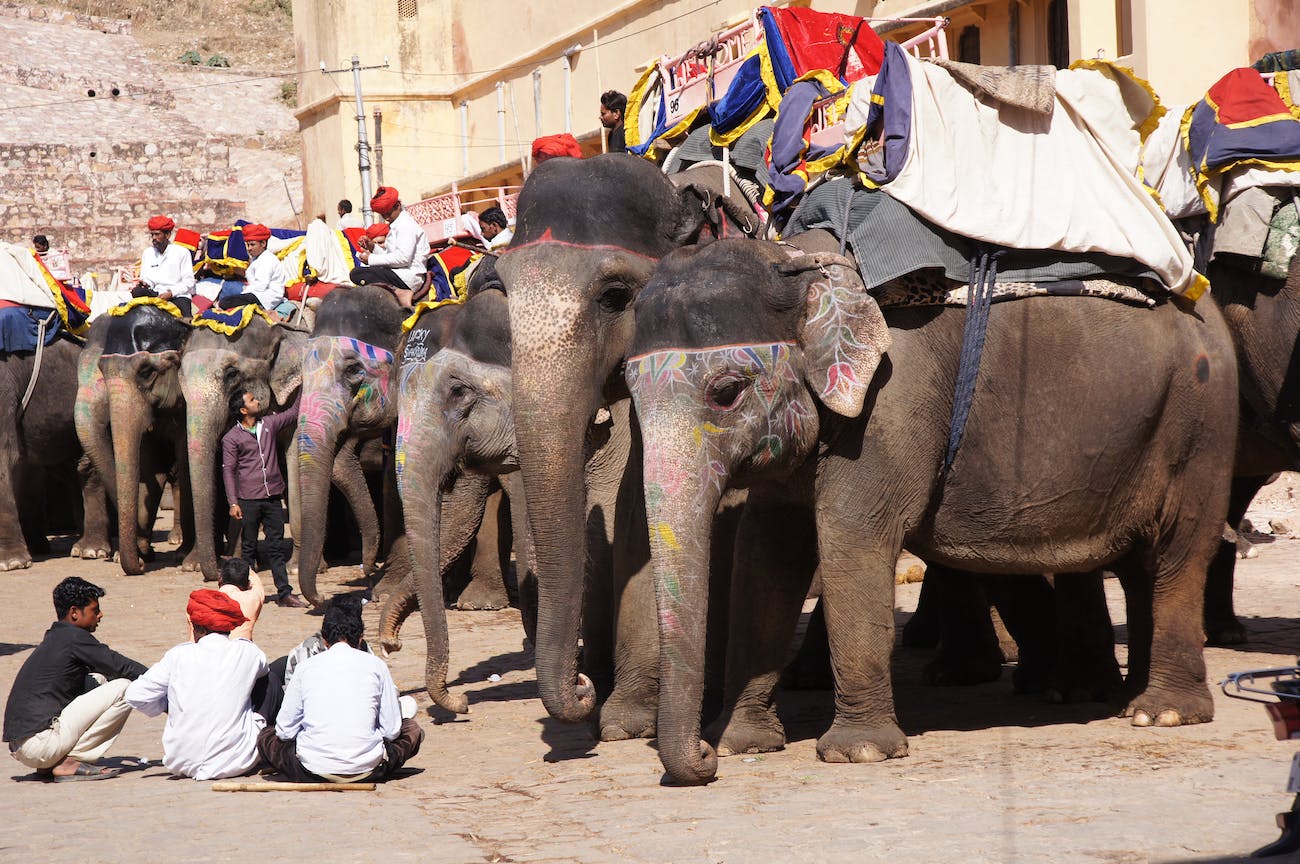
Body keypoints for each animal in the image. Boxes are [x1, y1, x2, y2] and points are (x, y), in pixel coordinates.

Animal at [76, 302, 196, 571]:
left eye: (147, 371)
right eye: (103, 371)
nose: (141, 562)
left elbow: (185, 460)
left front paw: (187, 559)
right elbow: (150, 463)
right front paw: (133, 554)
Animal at [629, 239, 1237, 784]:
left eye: (727, 391)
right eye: (629, 397)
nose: (702, 758)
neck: (795, 265)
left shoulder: (889, 410)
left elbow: (850, 540)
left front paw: (858, 754)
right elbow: (766, 555)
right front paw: (741, 744)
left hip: (1201, 425)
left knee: (1179, 551)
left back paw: (1161, 713)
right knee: (1138, 564)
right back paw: (1110, 697)